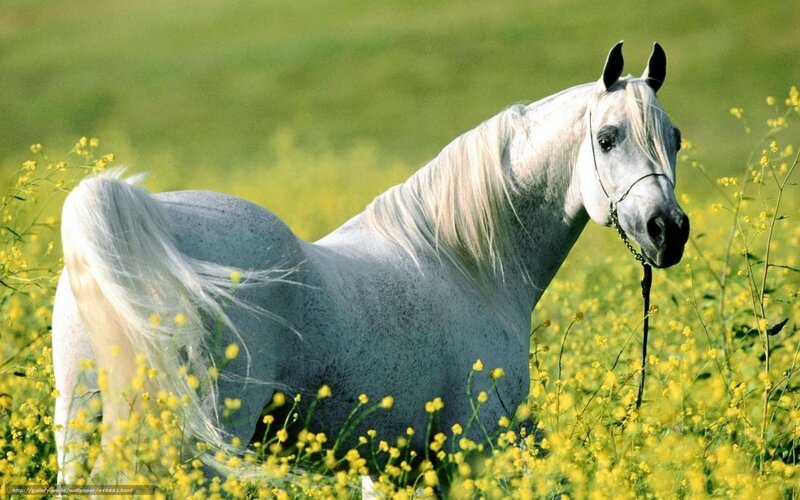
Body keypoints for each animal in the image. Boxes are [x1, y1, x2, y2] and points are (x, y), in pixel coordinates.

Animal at [52, 41, 689, 485]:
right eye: (607, 138)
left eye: (676, 138)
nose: (670, 230)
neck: (466, 265)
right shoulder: (472, 450)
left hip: (80, 425)